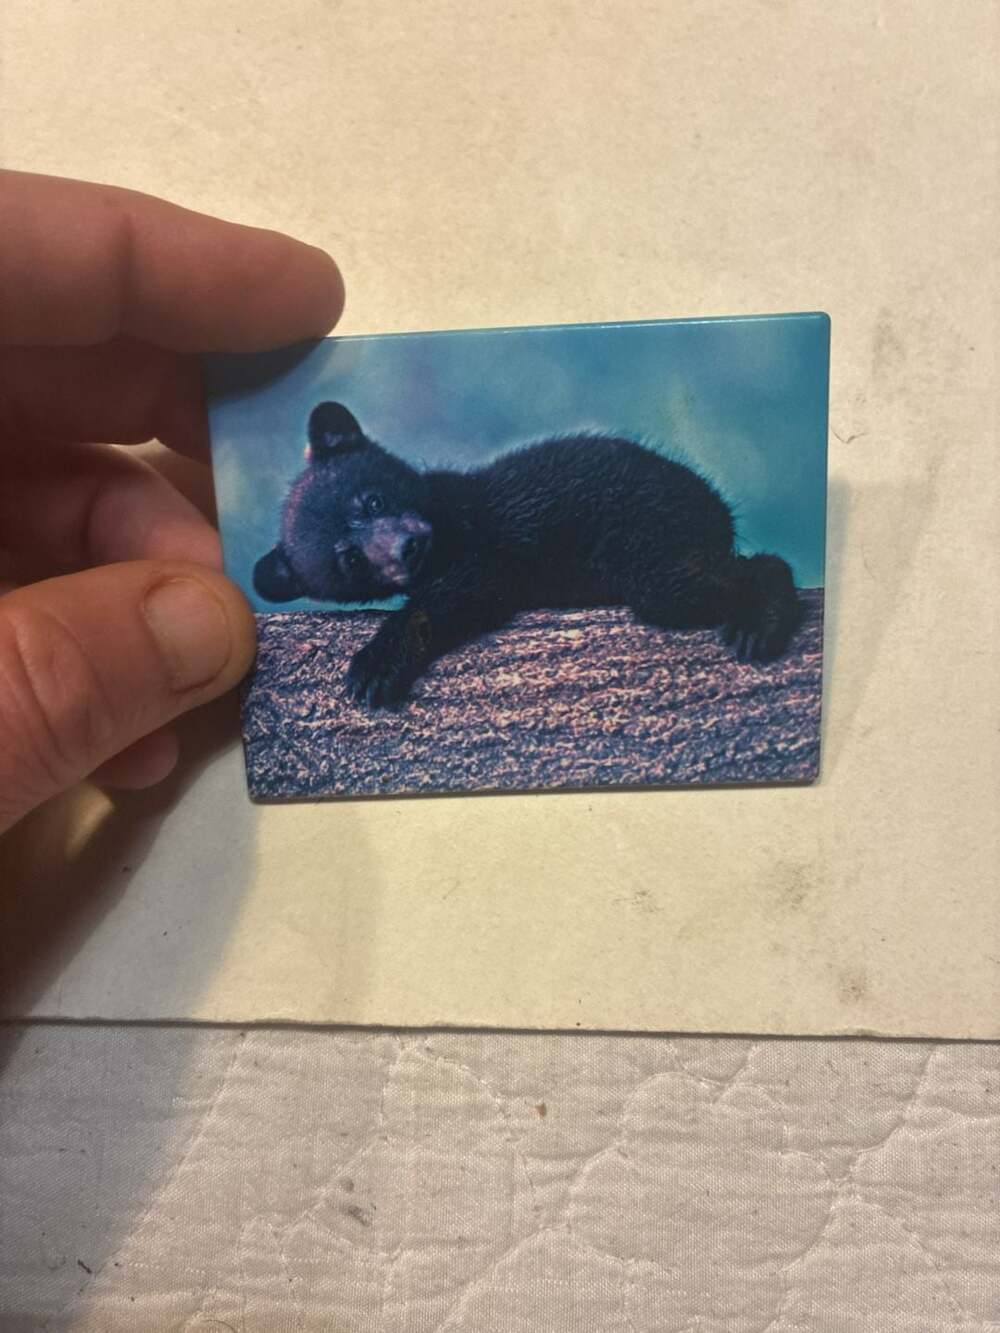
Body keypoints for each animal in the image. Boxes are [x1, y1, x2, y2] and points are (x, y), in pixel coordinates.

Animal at [253, 401, 803, 707]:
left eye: (373, 500)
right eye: (349, 559)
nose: (408, 547)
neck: (446, 519)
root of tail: (718, 506)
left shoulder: (486, 548)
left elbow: (462, 588)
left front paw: (375, 664)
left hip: (653, 538)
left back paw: (759, 623)